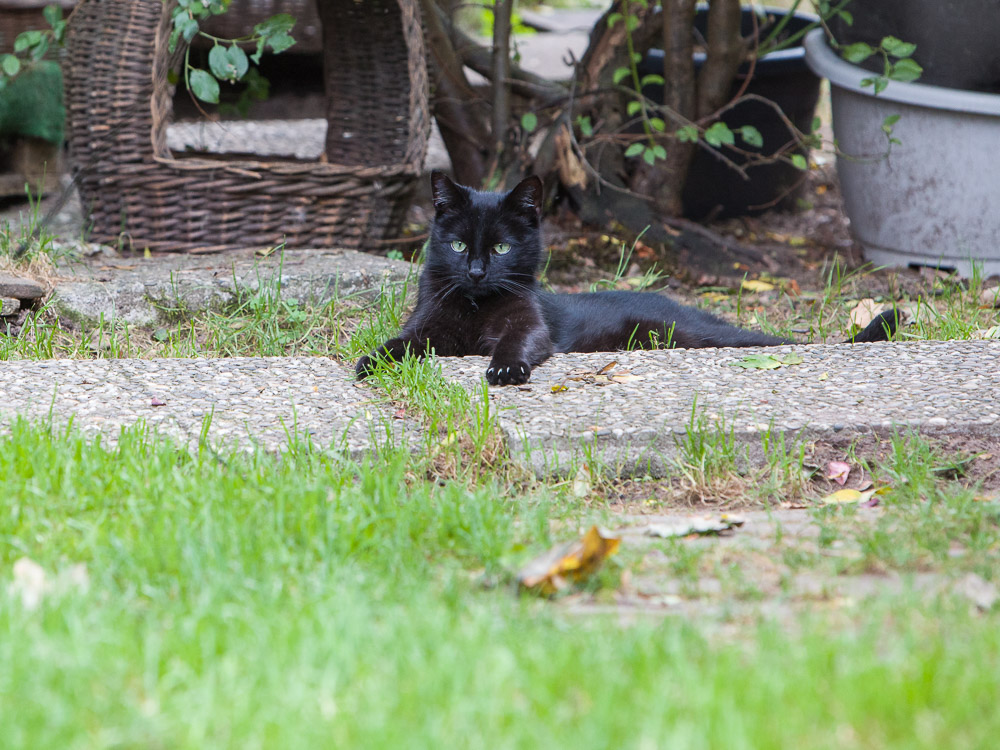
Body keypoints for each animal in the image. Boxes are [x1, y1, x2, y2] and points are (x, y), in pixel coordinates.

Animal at [358, 173, 900, 384]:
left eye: (501, 249)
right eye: (456, 246)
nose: (474, 272)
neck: (474, 307)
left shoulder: (531, 323)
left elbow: (519, 340)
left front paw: (506, 368)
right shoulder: (428, 325)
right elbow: (402, 342)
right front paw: (370, 361)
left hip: (689, 336)